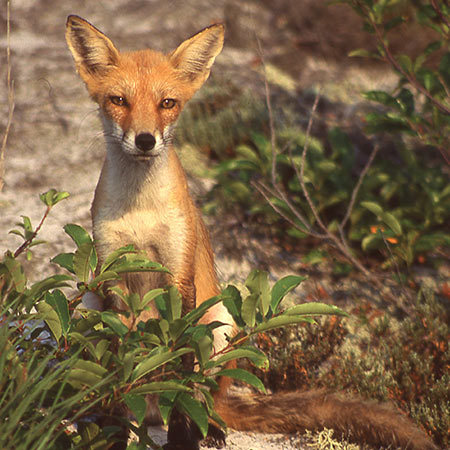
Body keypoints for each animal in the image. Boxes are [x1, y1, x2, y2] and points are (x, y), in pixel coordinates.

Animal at [66, 14, 436, 450]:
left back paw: (209, 428)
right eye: (119, 100)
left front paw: (182, 437)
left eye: (167, 103)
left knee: (202, 399)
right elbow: (119, 372)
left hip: (221, 323)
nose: (144, 140)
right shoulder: (112, 274)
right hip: (87, 302)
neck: (140, 211)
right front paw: (112, 431)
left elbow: (180, 371)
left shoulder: (180, 275)